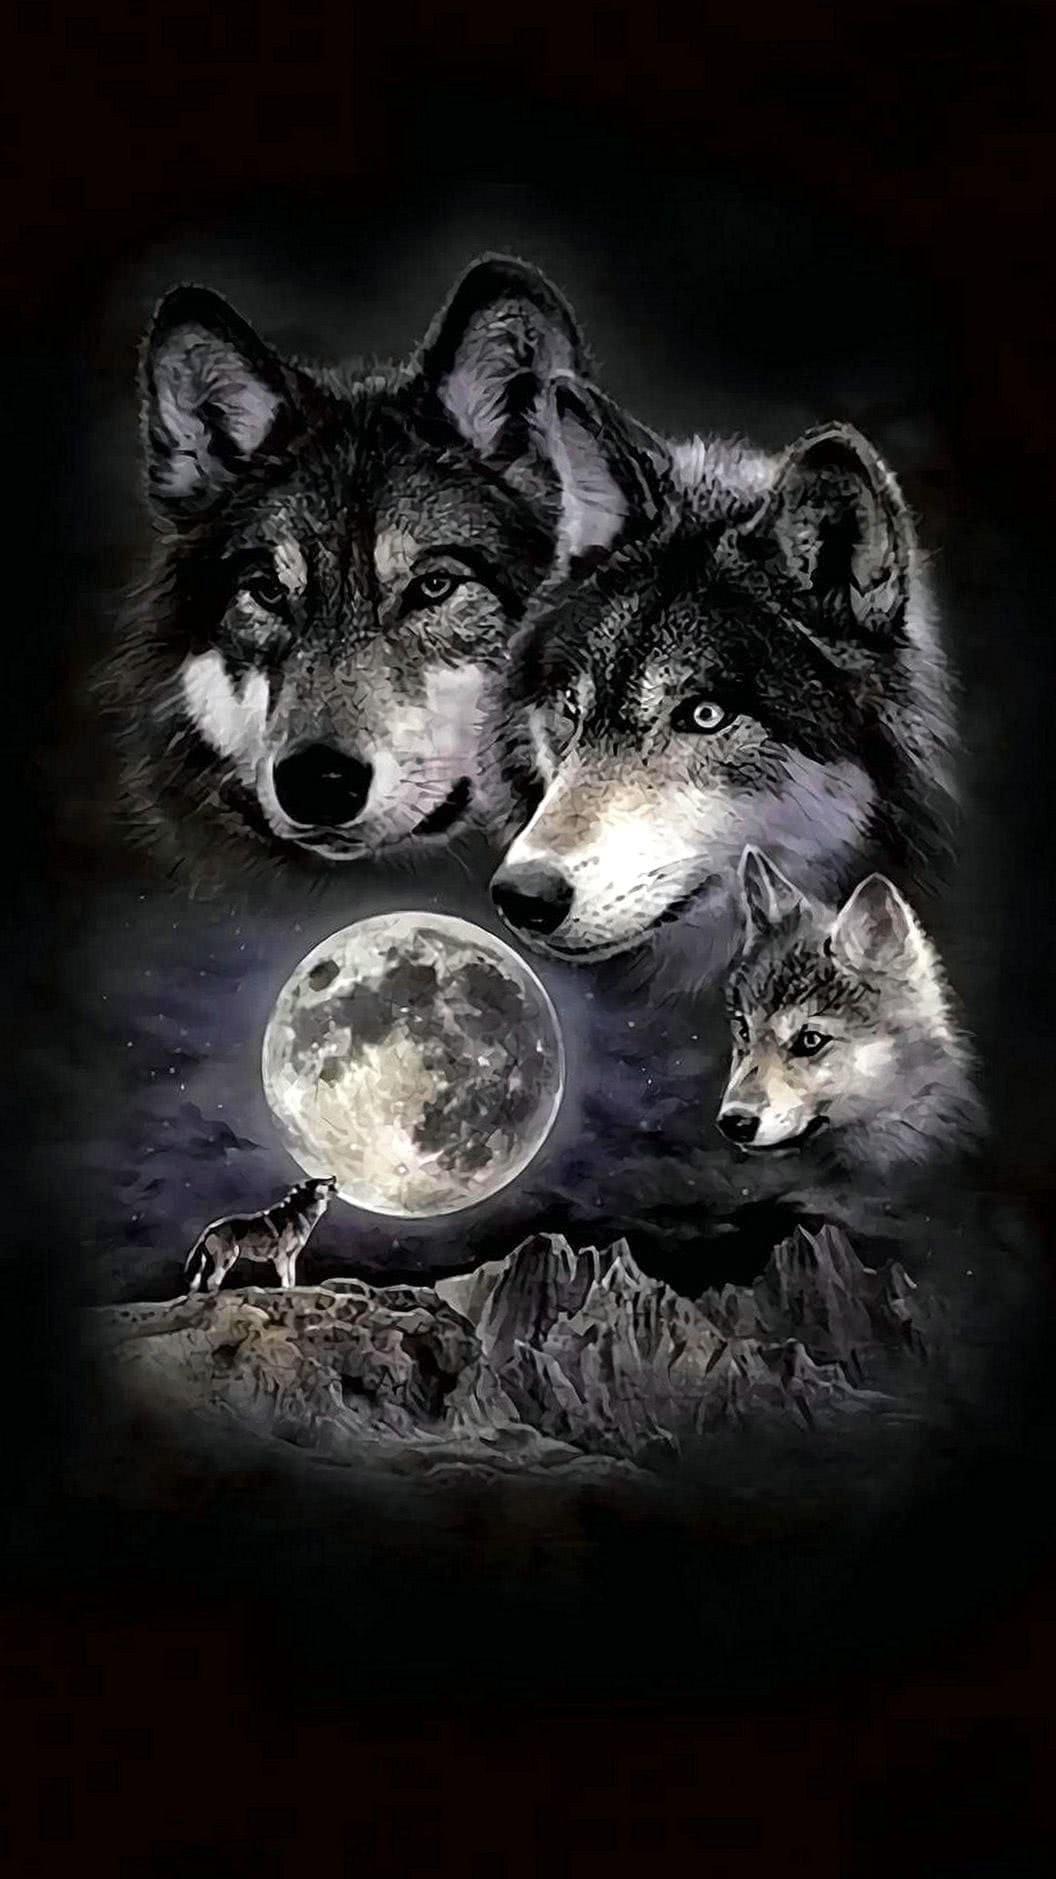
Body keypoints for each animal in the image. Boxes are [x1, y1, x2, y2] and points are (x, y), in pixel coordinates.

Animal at [184, 1175, 337, 1293]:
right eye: (321, 1181)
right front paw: (285, 1287)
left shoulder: (292, 1255)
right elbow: (284, 1275)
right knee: (212, 1280)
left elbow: (292, 1275)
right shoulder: (281, 1255)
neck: (298, 1209)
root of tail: (209, 1229)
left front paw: (290, 1288)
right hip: (230, 1256)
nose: (334, 1176)